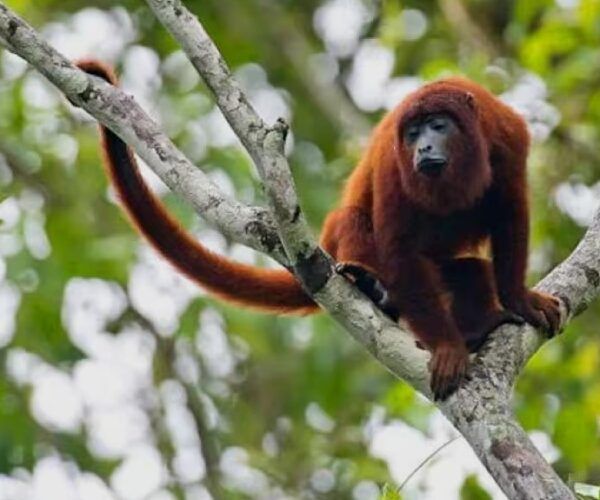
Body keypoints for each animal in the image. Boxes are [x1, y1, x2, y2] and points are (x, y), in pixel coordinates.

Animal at [76, 60, 564, 400]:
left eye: (438, 126)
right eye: (412, 134)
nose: (424, 146)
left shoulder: (508, 138)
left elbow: (512, 215)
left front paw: (519, 301)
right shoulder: (392, 164)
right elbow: (398, 244)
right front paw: (446, 348)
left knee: (472, 272)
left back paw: (477, 324)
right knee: (357, 223)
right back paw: (372, 288)